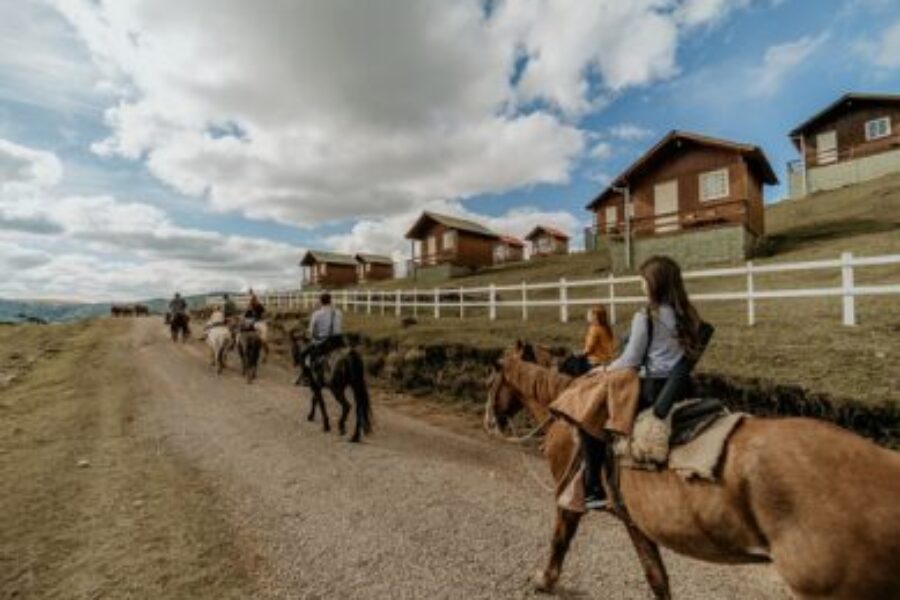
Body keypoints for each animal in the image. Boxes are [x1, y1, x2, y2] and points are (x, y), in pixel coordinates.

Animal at [488, 352, 900, 600]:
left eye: (494, 382)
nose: (492, 421)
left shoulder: (568, 498)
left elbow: (560, 539)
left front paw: (545, 579)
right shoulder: (636, 521)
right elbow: (657, 577)